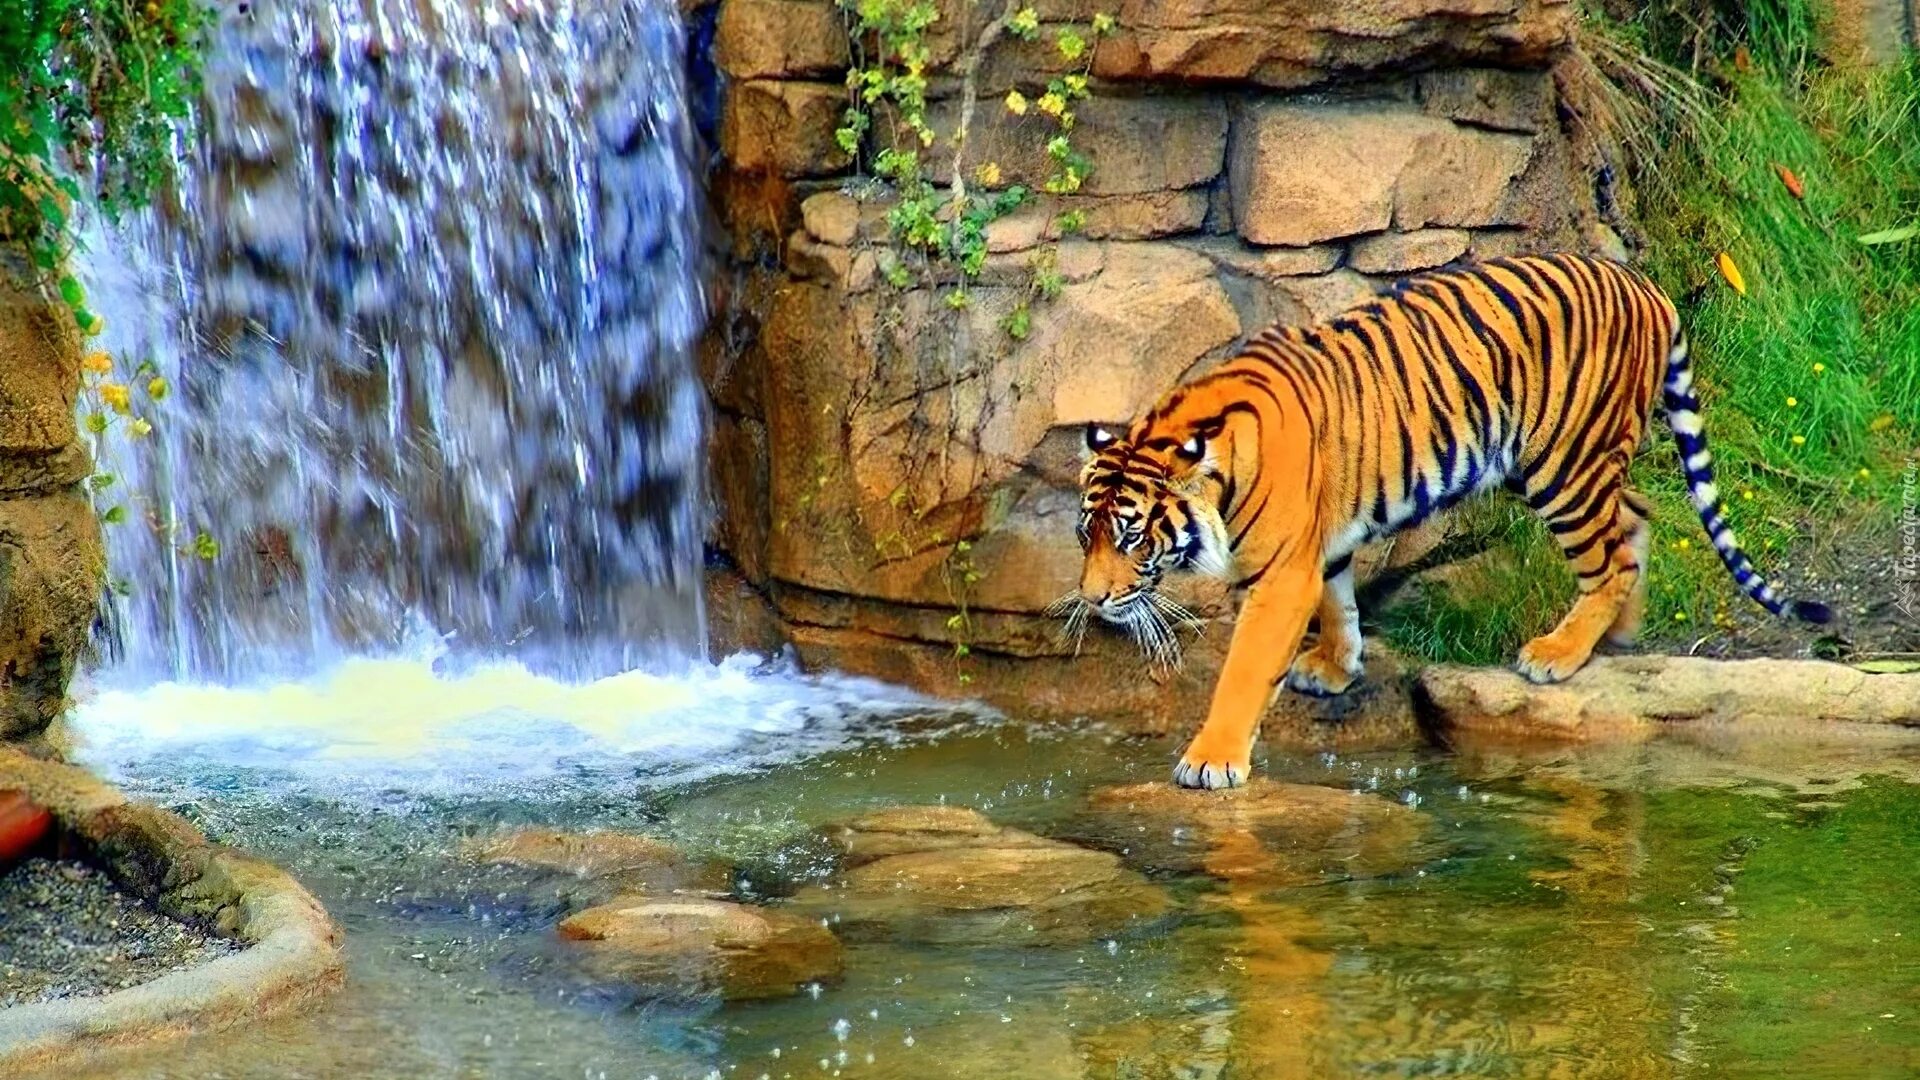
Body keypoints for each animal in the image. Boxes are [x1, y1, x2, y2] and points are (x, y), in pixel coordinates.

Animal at [1067, 255, 1827, 787]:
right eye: (1086, 536)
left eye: (1131, 536)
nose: (1092, 600)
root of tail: (1645, 285)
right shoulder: (1324, 543)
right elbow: (1339, 603)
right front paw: (1337, 666)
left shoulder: (1282, 572)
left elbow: (1247, 669)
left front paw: (1211, 760)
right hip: (1579, 462)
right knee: (1637, 516)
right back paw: (1617, 633)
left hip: (1562, 465)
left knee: (1612, 557)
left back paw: (1559, 652)